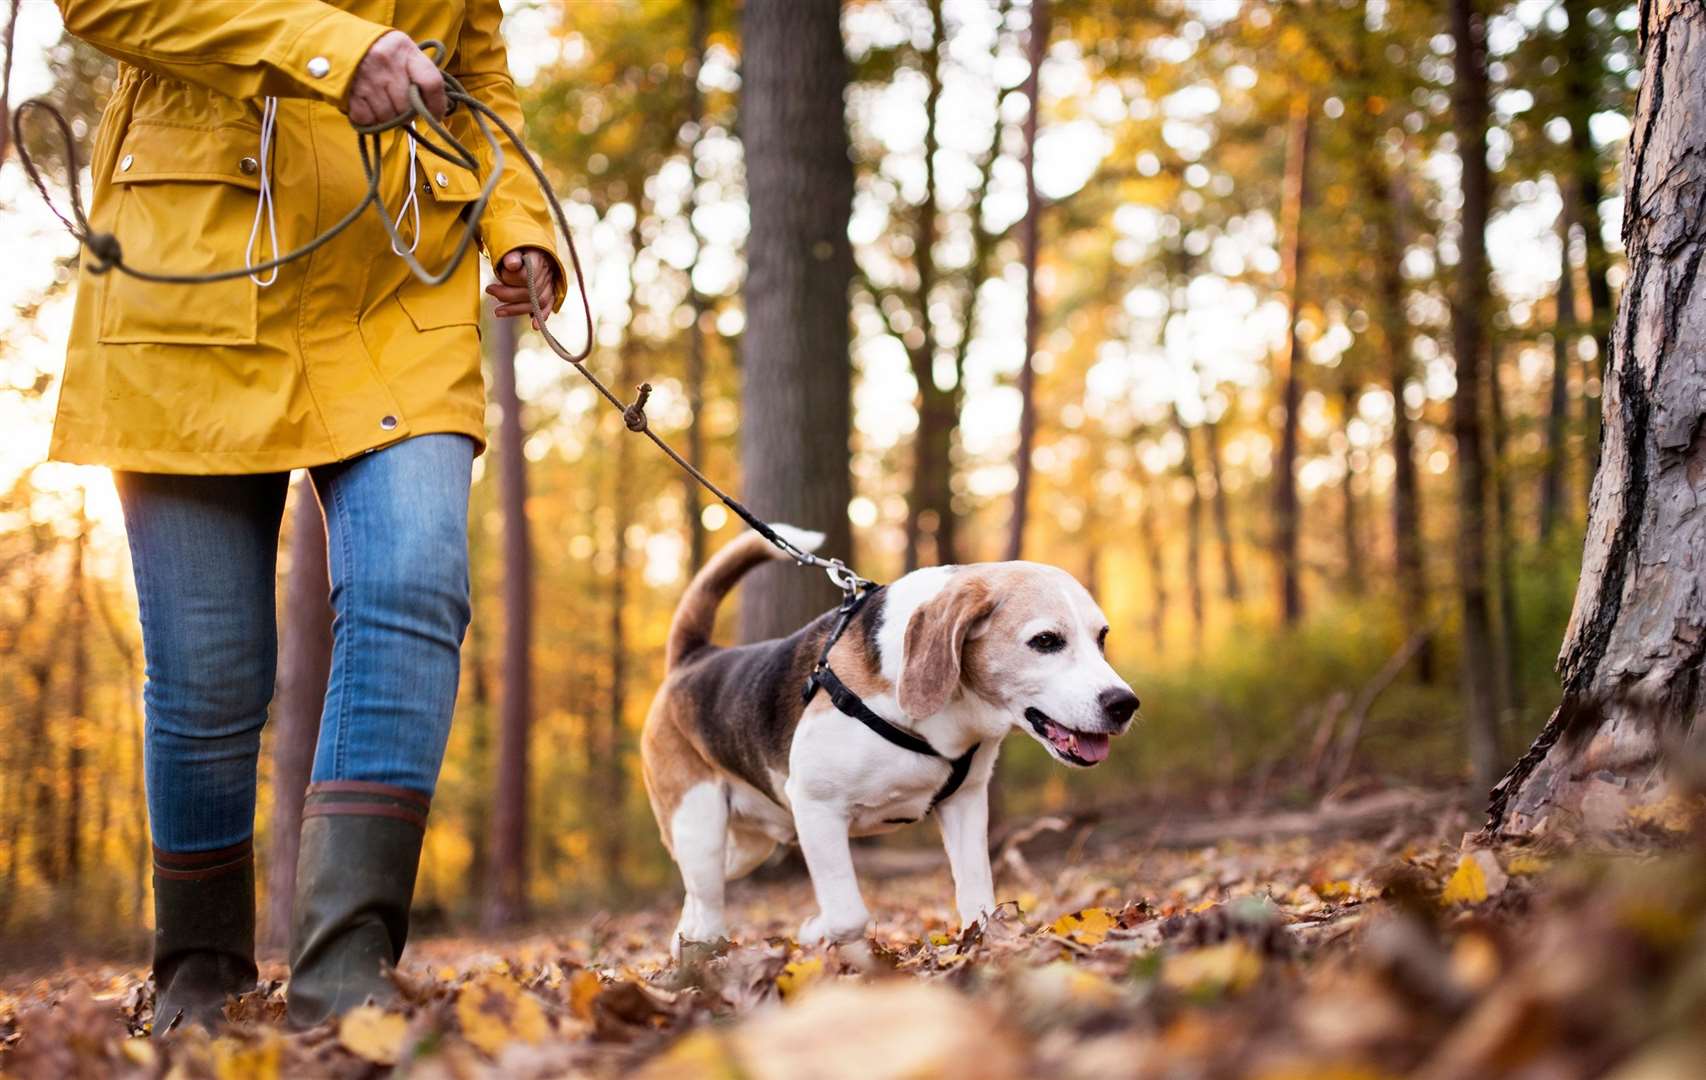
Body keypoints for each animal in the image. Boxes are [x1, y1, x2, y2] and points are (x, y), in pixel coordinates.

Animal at [638, 525, 1132, 948]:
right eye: (1045, 641)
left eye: (1102, 637)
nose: (1124, 703)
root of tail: (694, 658)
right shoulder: (817, 807)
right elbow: (847, 915)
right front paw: (821, 935)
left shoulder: (965, 804)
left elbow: (978, 899)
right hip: (698, 825)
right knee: (708, 903)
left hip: (745, 848)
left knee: (696, 899)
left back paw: (687, 949)